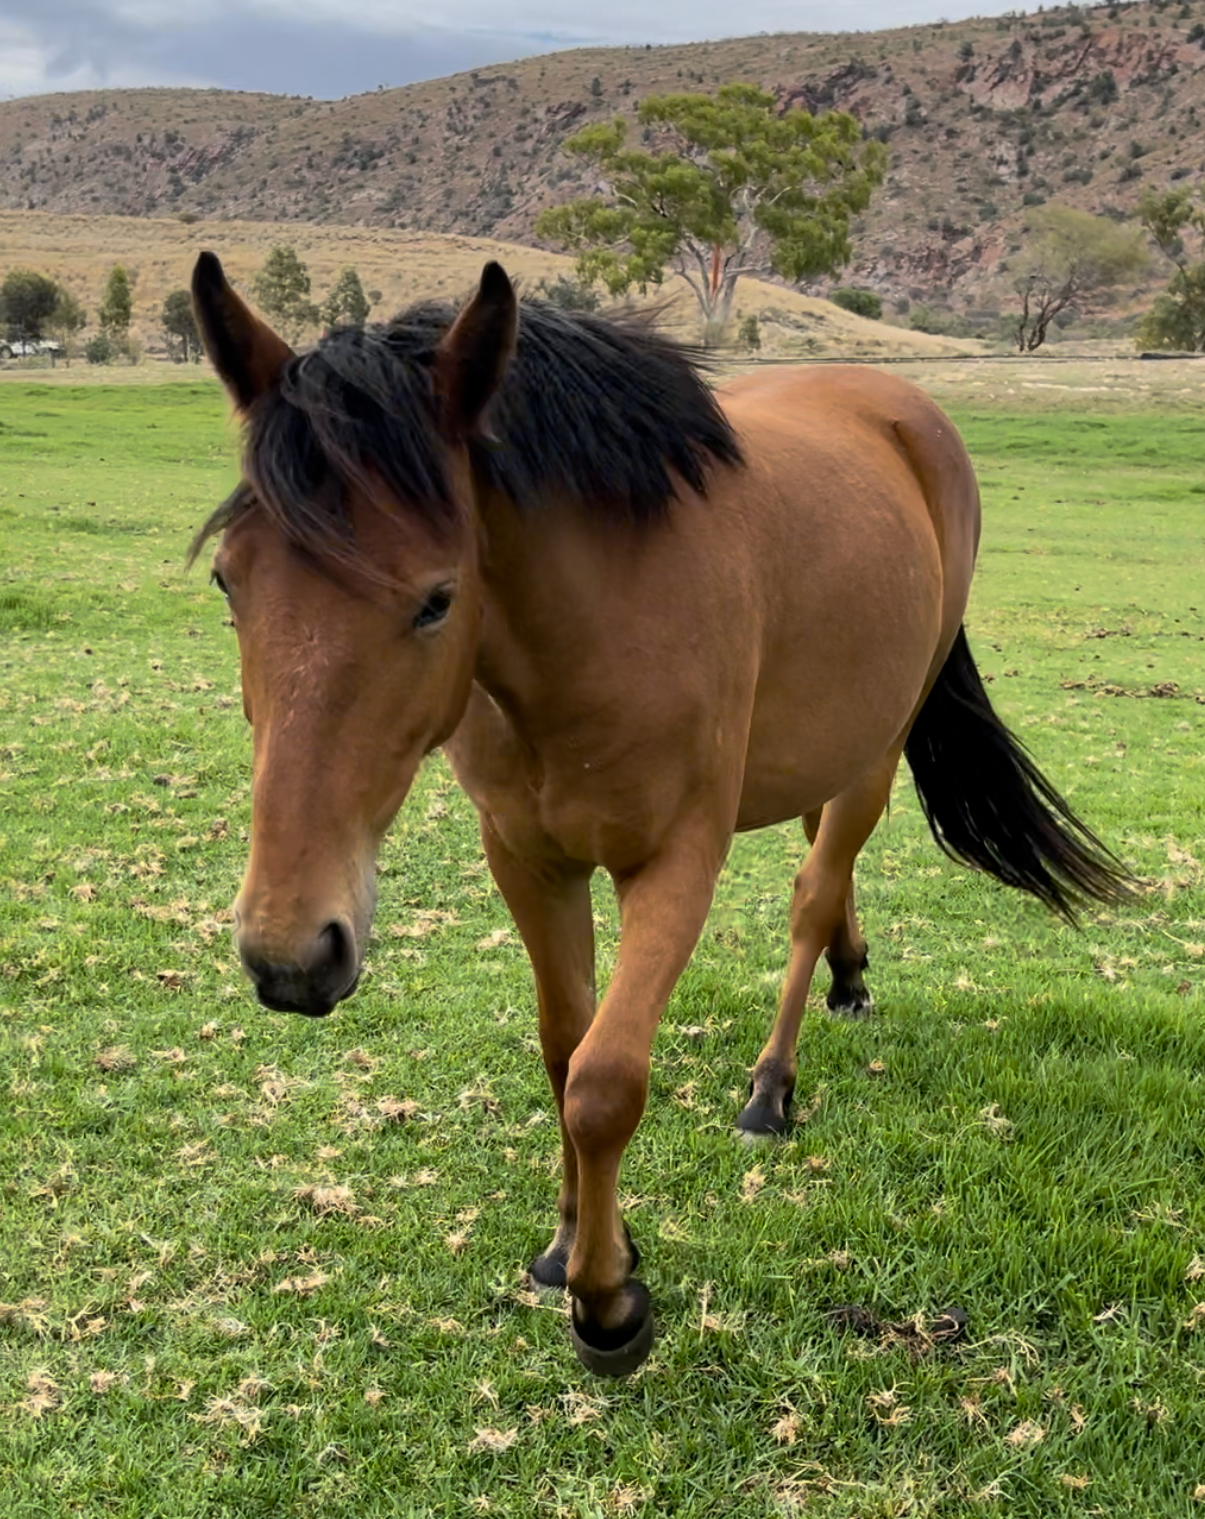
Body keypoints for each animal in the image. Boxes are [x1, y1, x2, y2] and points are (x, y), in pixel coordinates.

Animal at [188, 251, 1128, 1377]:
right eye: (227, 580)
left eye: (436, 598)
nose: (290, 954)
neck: (592, 630)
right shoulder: (526, 858)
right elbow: (562, 1047)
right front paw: (566, 1242)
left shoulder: (677, 862)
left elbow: (604, 1082)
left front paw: (608, 1300)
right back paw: (849, 979)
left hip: (874, 747)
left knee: (813, 893)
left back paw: (770, 1086)